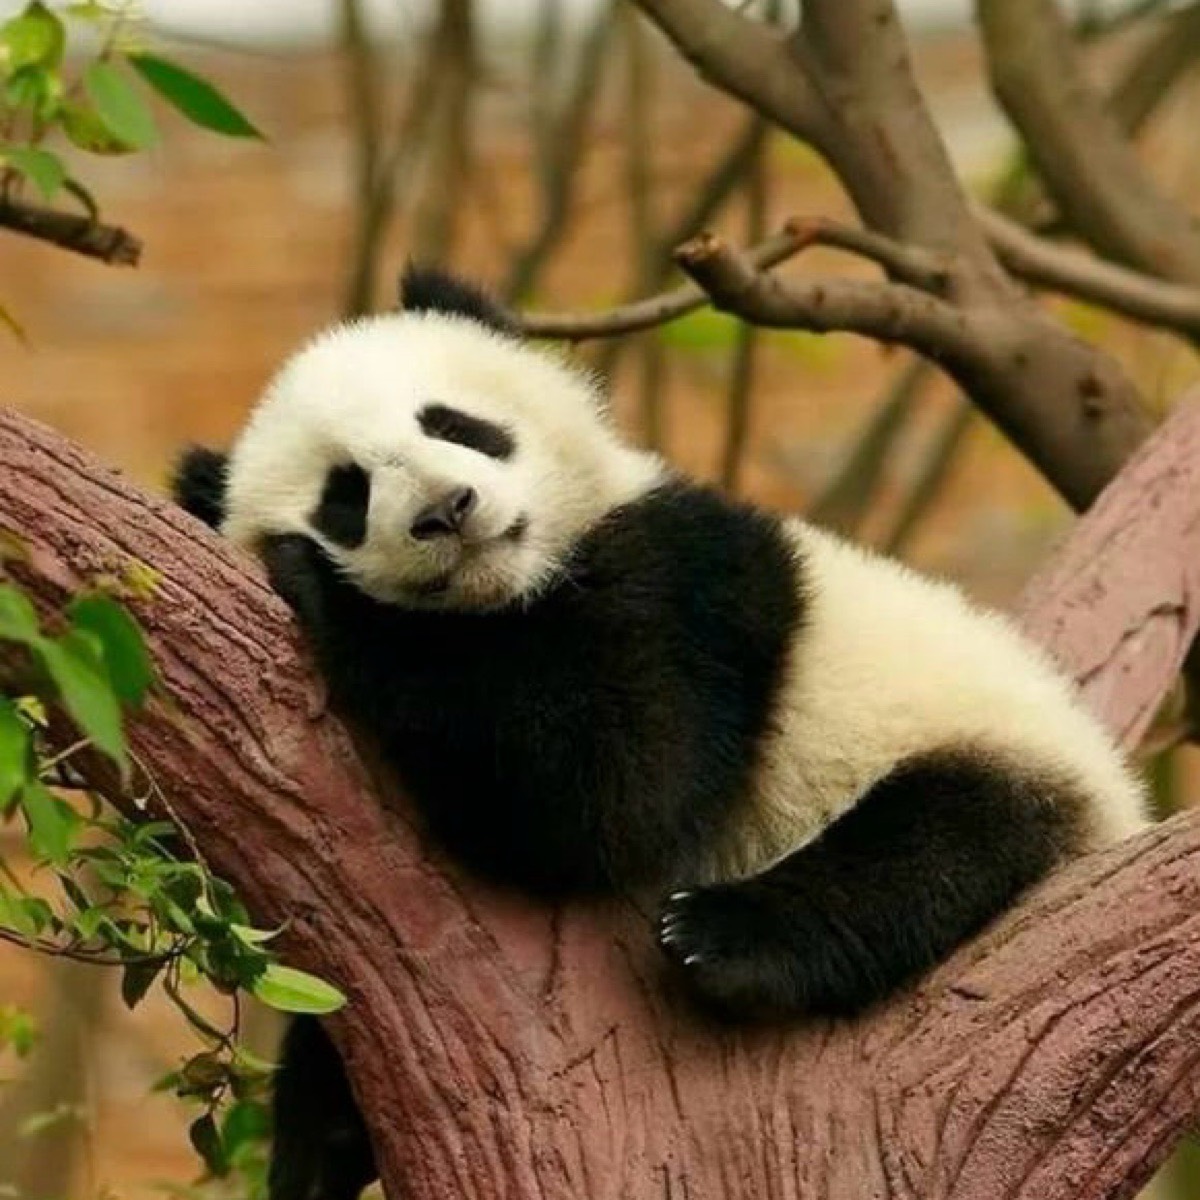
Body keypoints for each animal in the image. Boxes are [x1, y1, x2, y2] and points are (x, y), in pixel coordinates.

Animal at [173, 266, 1147, 1200]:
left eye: (455, 424)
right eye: (346, 495)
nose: (448, 509)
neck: (514, 590)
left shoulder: (690, 583)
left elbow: (610, 789)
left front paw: (330, 595)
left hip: (985, 744)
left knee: (932, 842)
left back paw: (724, 938)